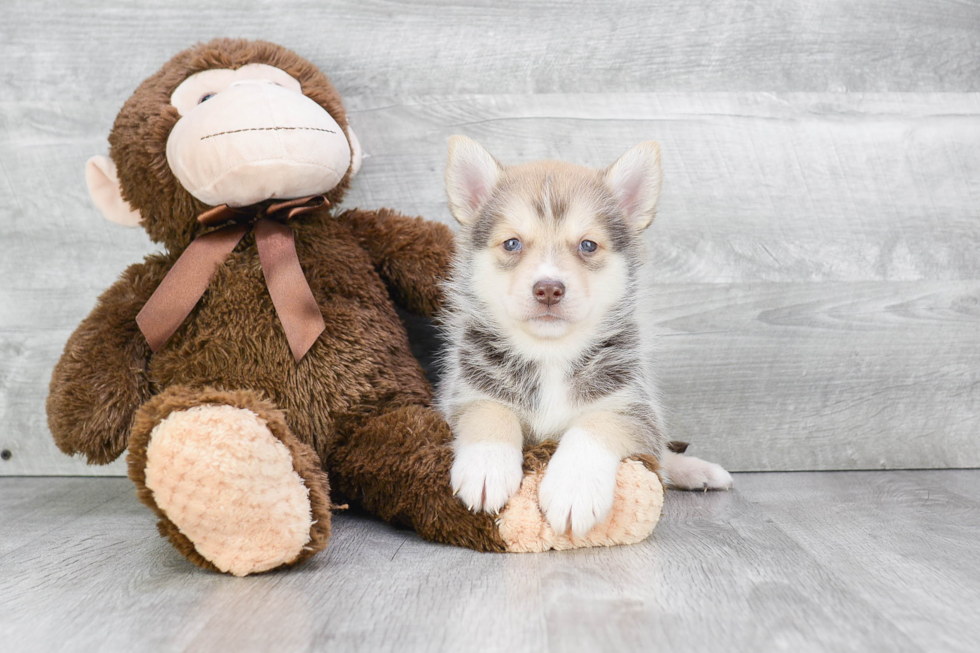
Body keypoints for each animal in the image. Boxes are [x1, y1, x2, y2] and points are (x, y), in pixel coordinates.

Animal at [440, 136, 732, 536]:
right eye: (512, 244)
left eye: (588, 245)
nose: (548, 289)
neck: (550, 354)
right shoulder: (464, 395)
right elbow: (491, 412)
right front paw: (486, 467)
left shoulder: (633, 407)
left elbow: (594, 424)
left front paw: (573, 489)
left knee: (662, 454)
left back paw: (699, 470)